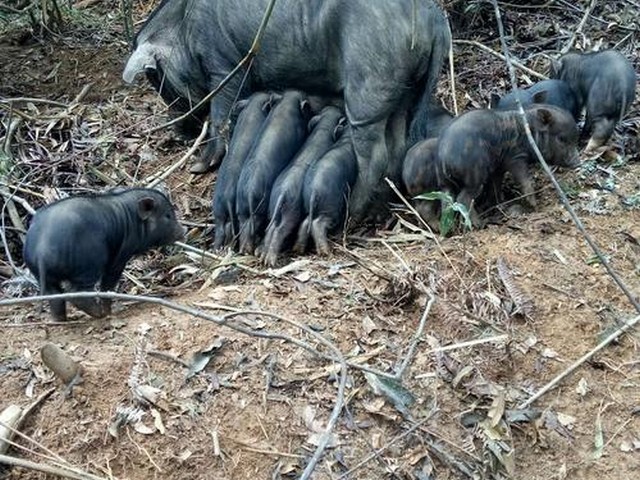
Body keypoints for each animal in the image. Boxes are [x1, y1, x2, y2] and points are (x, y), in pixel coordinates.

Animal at [23, 189, 184, 320]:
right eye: (168, 216)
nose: (184, 230)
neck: (132, 219)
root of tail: (42, 251)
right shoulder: (121, 256)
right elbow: (109, 282)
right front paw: (108, 313)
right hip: (88, 264)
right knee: (76, 292)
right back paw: (100, 314)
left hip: (41, 275)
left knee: (55, 296)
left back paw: (59, 320)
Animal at [122, 0, 448, 220]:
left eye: (155, 77)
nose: (179, 131)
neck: (184, 28)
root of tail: (434, 20)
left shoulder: (225, 65)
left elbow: (220, 115)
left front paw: (199, 166)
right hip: (407, 90)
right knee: (398, 143)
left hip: (369, 82)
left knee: (375, 153)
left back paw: (352, 215)